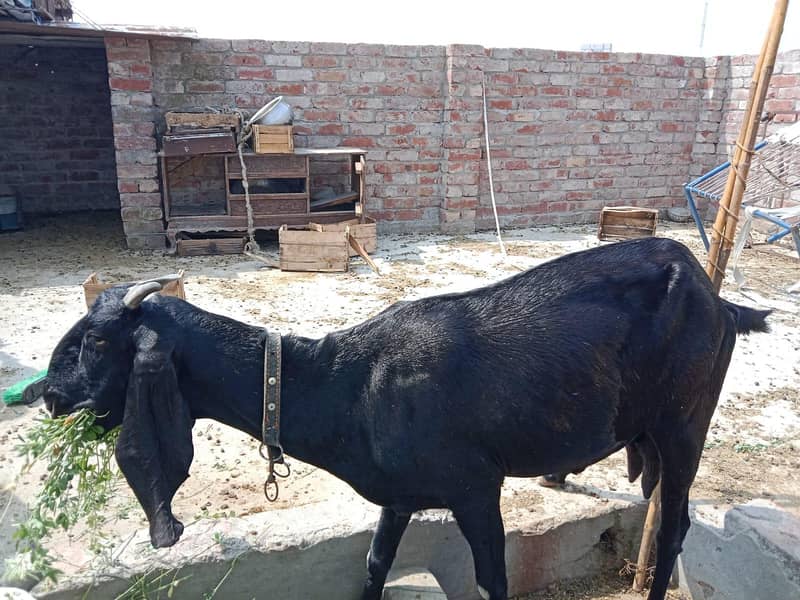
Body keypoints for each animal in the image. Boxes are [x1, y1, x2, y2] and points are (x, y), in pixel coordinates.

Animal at [43, 237, 769, 600]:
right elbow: (372, 565)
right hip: (651, 435)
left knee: (674, 526)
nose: (50, 395)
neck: (347, 385)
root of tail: (719, 299)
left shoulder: (475, 488)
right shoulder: (398, 497)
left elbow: (493, 580)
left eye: (98, 341)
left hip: (685, 426)